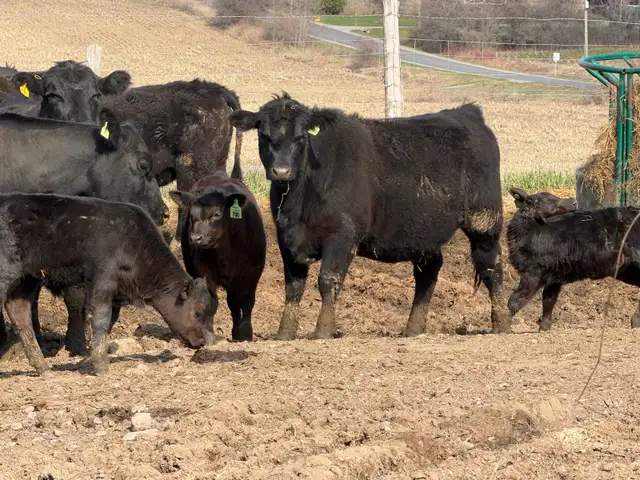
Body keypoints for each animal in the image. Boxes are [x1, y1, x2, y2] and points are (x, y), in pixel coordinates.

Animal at [0, 193, 209, 377]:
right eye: (198, 312)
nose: (201, 341)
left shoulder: (116, 295)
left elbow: (109, 323)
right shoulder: (102, 282)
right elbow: (100, 320)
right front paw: (101, 367)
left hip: (26, 280)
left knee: (20, 316)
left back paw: (44, 369)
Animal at [169, 171, 266, 344]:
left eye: (216, 214)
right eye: (191, 216)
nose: (196, 238)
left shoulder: (252, 273)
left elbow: (247, 302)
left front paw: (246, 335)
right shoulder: (205, 273)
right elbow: (211, 301)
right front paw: (208, 334)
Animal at [230, 93, 510, 340]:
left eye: (301, 137)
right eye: (264, 135)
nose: (281, 171)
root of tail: (465, 113)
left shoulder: (343, 235)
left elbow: (328, 280)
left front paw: (323, 331)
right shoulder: (286, 238)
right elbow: (293, 287)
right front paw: (284, 334)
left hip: (484, 220)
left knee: (491, 265)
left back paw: (501, 324)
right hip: (424, 232)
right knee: (428, 271)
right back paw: (413, 329)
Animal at [507, 187, 640, 331]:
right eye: (548, 199)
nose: (573, 201)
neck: (528, 231)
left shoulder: (532, 273)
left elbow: (515, 301)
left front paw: (502, 326)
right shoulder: (554, 276)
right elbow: (548, 300)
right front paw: (544, 328)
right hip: (627, 270)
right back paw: (635, 322)